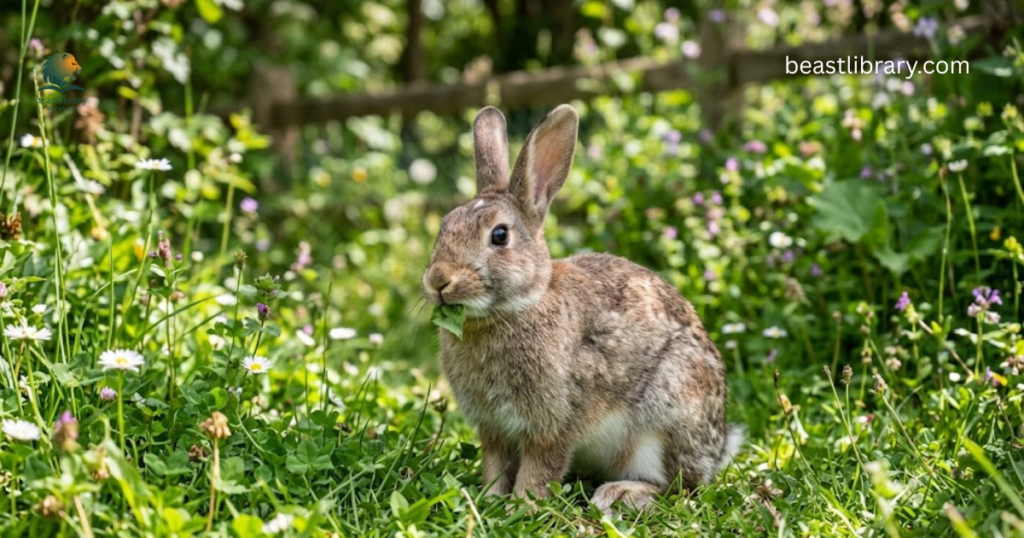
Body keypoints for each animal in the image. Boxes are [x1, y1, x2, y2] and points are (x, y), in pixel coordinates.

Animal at [421, 104, 743, 514]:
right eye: (445, 226)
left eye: (499, 235)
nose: (438, 281)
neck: (515, 308)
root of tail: (717, 450)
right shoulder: (494, 429)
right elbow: (495, 465)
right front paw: (489, 501)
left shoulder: (555, 423)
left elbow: (540, 469)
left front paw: (521, 507)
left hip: (666, 415)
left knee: (677, 486)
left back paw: (618, 494)